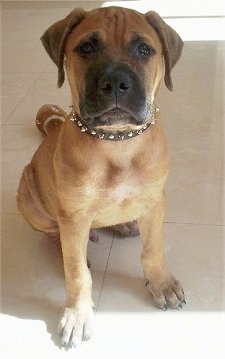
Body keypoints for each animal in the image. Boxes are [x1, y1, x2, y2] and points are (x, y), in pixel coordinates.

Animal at [16, 6, 185, 348]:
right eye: (86, 48)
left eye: (144, 49)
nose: (116, 82)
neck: (117, 142)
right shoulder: (74, 215)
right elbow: (78, 274)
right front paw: (77, 315)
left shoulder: (155, 202)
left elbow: (154, 249)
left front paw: (161, 282)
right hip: (27, 195)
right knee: (57, 236)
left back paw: (122, 224)